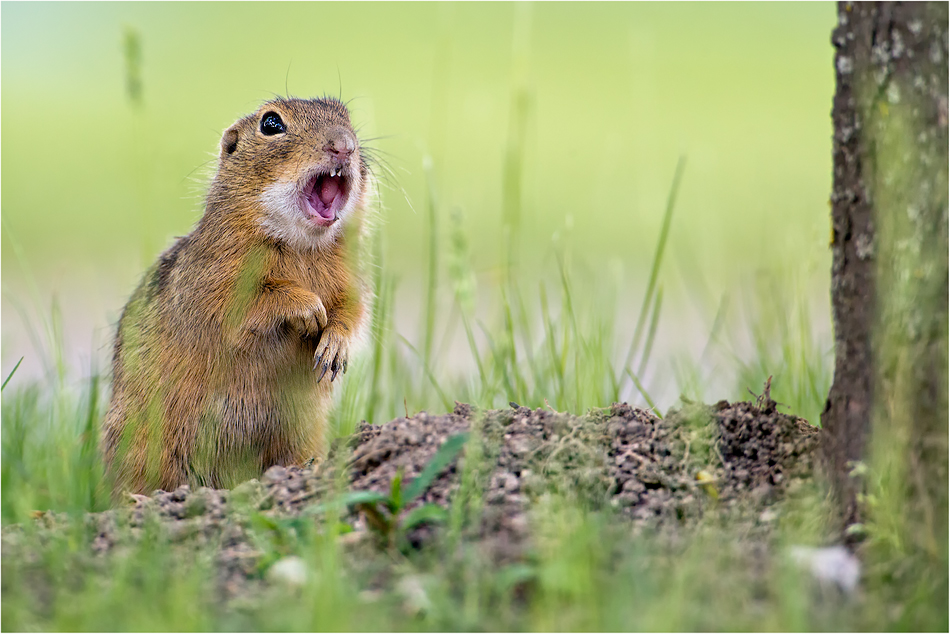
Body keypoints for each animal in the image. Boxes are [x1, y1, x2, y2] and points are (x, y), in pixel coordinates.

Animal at [101, 97, 376, 494]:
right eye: (271, 123)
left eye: (346, 116)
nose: (344, 145)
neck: (302, 245)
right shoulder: (213, 277)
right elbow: (243, 305)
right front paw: (308, 308)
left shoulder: (352, 280)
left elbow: (352, 311)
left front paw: (333, 346)